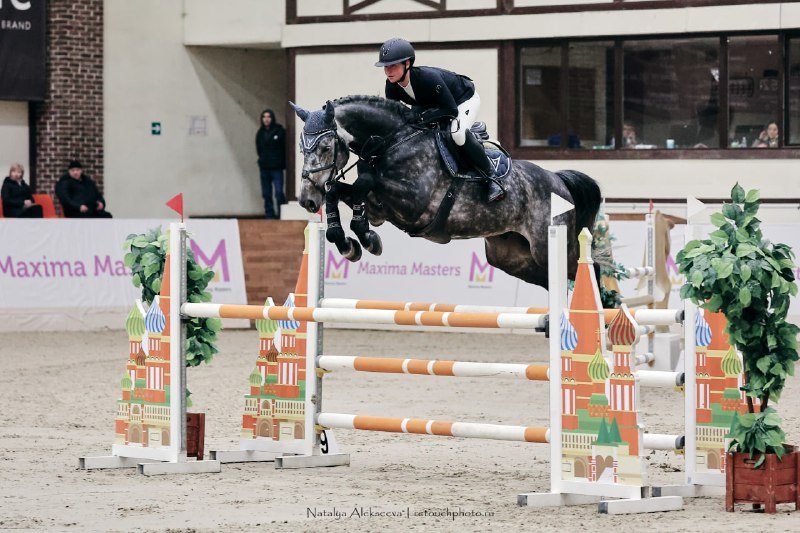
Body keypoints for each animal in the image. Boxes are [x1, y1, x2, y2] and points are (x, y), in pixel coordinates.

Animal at [292, 93, 600, 288]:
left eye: (325, 147)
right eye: (302, 149)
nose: (307, 200)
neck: (391, 141)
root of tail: (558, 181)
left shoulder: (412, 202)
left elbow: (361, 184)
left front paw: (367, 239)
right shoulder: (379, 209)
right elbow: (338, 190)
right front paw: (346, 243)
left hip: (549, 245)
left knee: (587, 269)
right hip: (510, 256)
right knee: (550, 280)